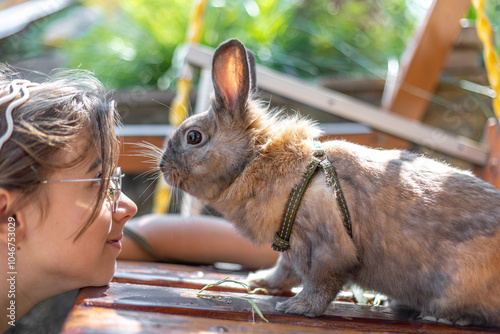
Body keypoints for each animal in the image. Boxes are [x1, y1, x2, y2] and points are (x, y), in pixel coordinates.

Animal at [161, 38, 500, 326]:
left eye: (193, 137)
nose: (163, 168)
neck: (255, 160)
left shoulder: (328, 247)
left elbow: (320, 283)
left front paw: (296, 308)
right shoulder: (291, 248)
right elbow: (284, 271)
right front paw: (260, 281)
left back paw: (442, 316)